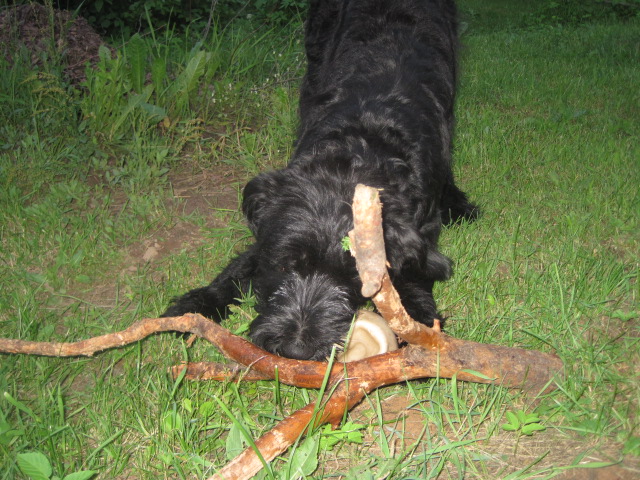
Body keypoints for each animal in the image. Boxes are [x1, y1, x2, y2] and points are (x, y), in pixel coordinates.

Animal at [162, 0, 478, 360]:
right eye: (285, 266)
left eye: (354, 277)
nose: (296, 350)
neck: (354, 156)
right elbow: (240, 266)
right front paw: (195, 304)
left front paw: (417, 321)